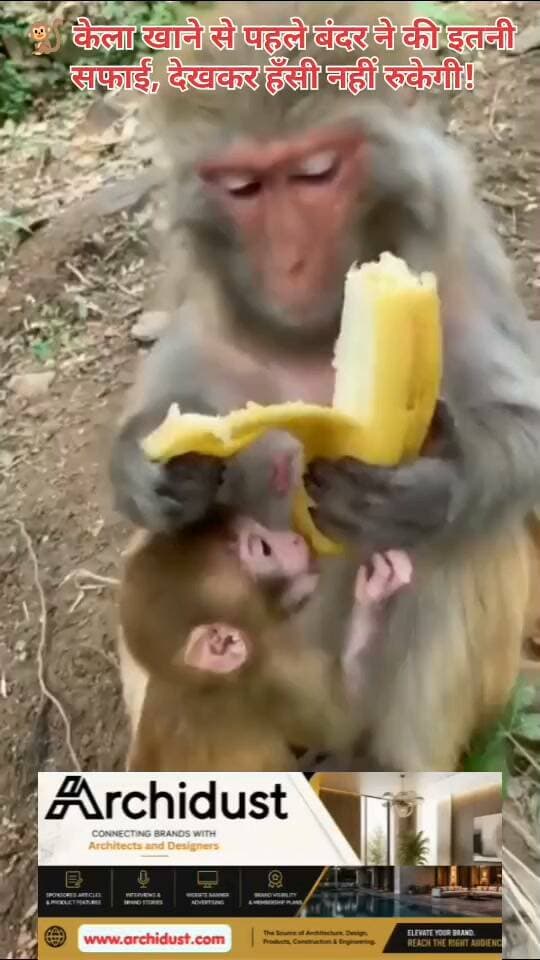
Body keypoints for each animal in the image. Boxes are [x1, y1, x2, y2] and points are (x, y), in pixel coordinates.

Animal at [121, 516, 412, 771]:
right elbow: (344, 723)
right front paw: (375, 590)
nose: (295, 538)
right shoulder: (272, 678)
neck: (206, 683)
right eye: (264, 549)